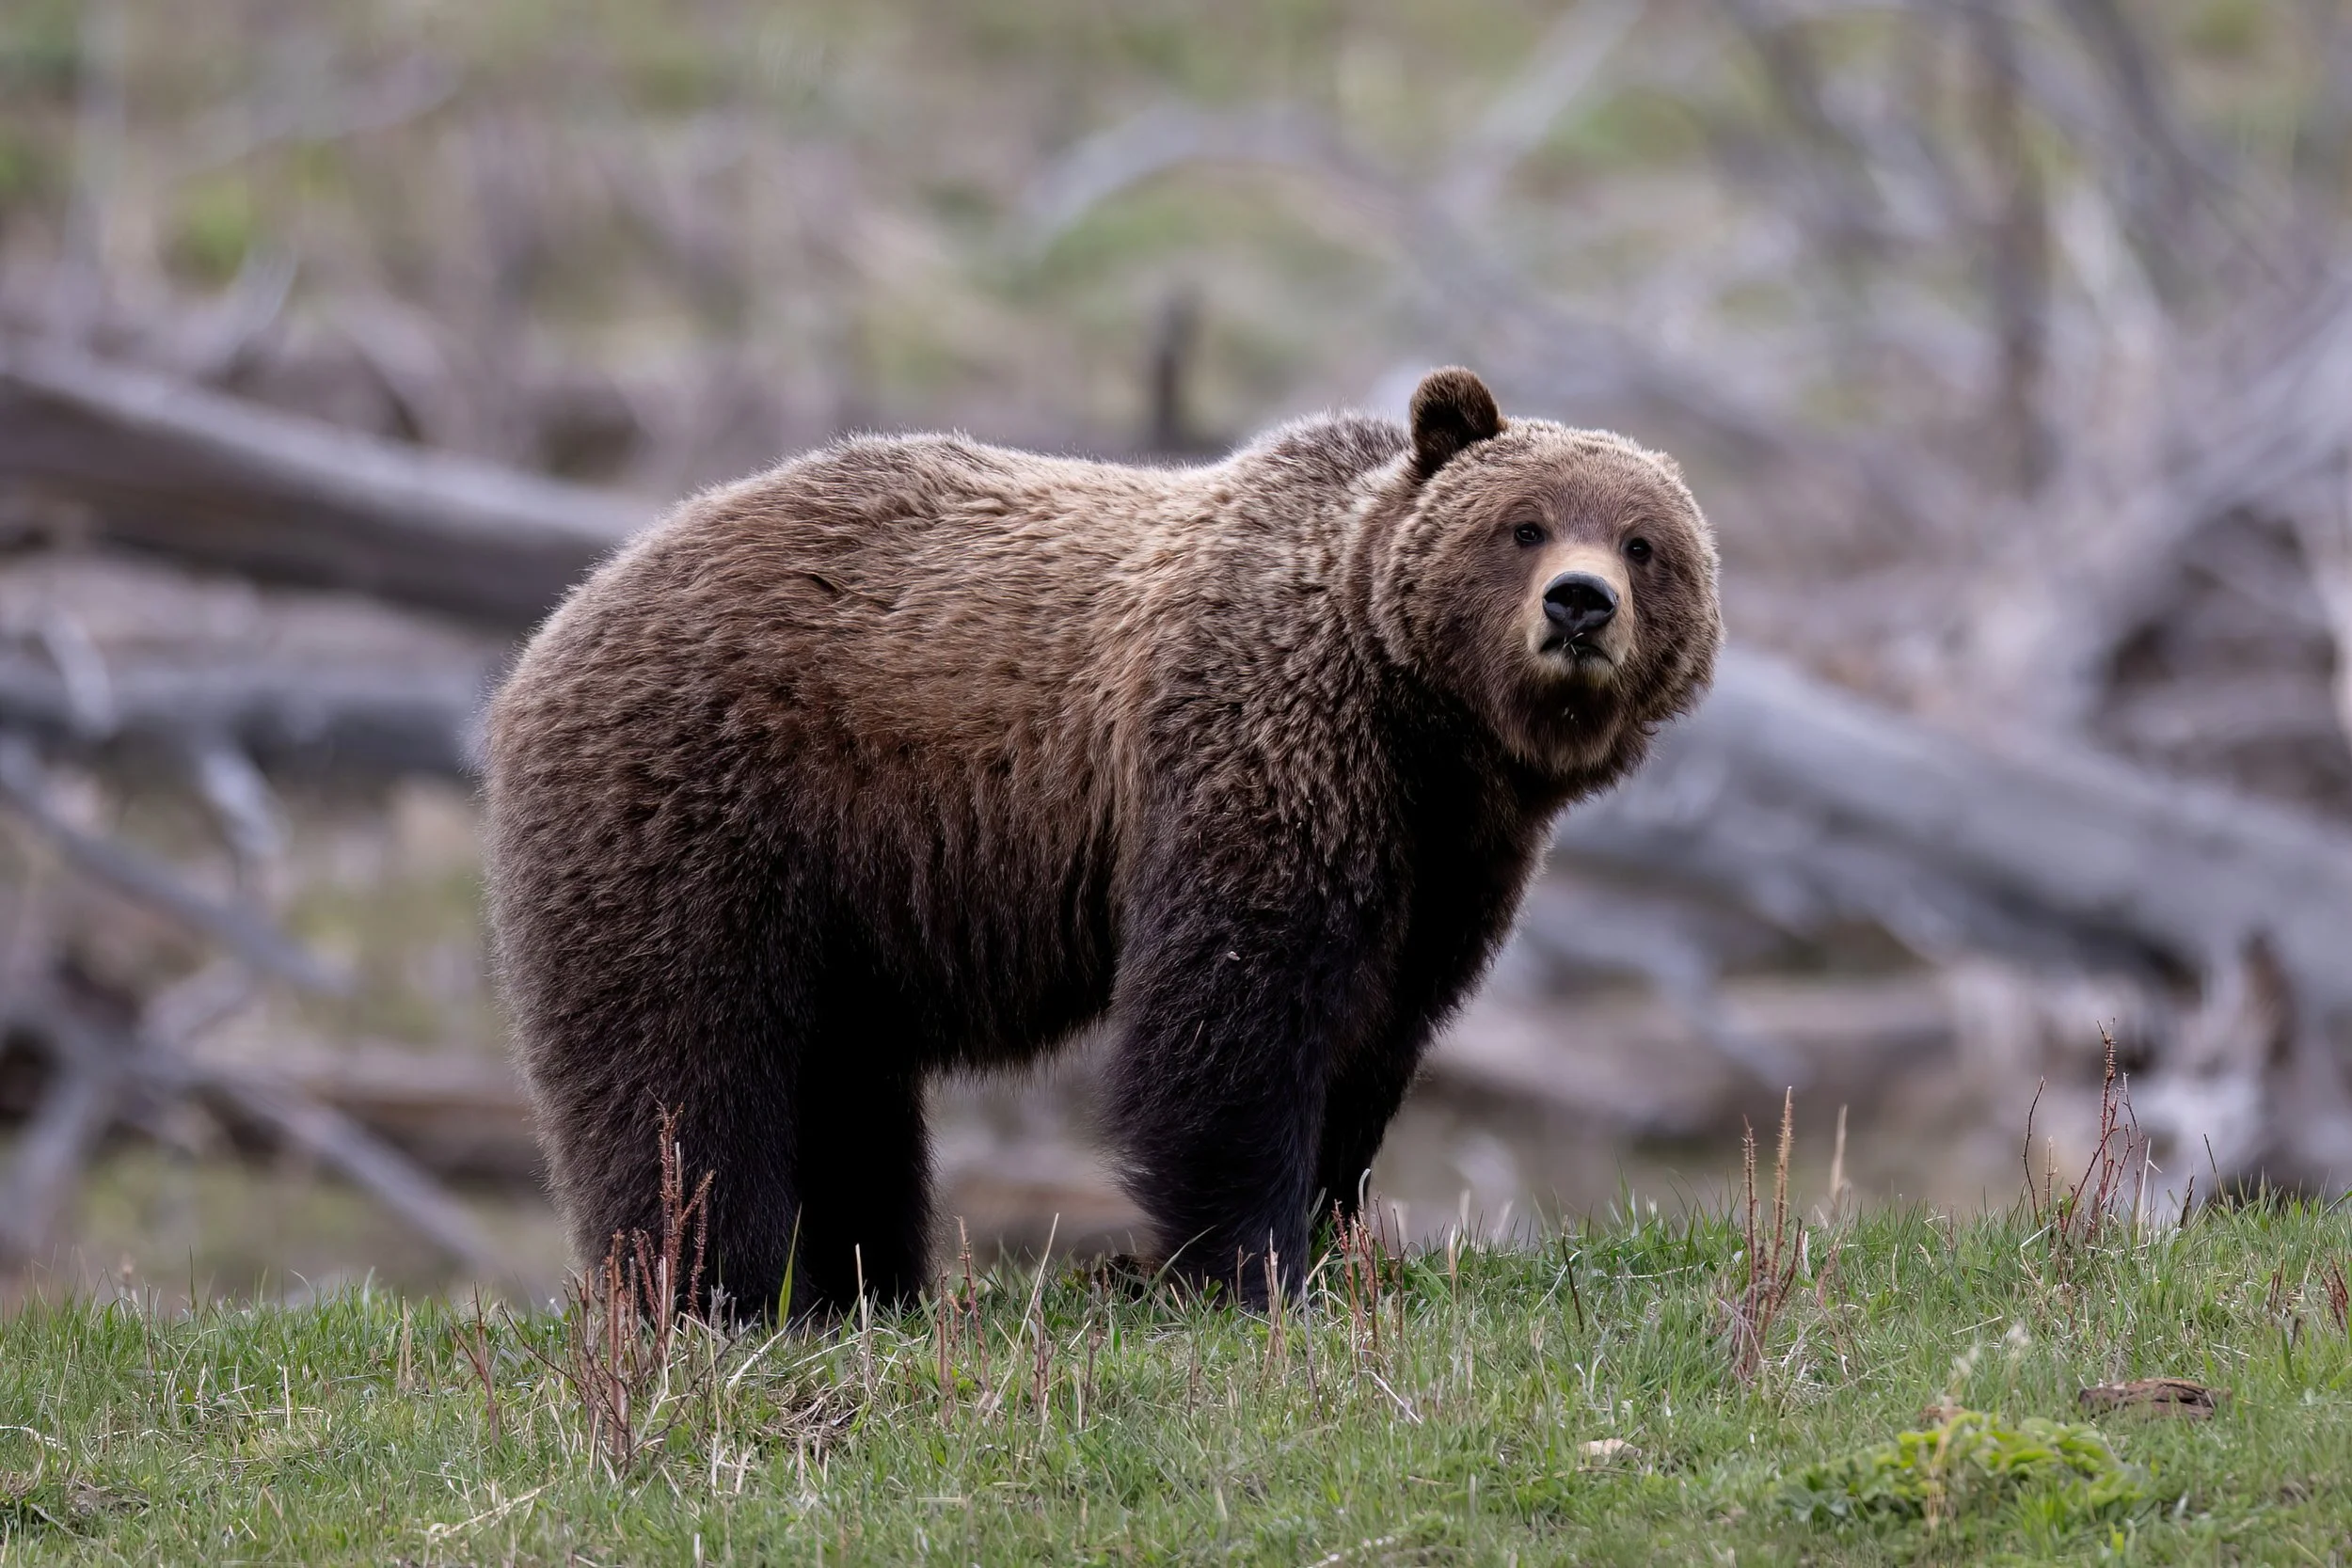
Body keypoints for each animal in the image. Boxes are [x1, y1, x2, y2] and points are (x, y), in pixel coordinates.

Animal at [483, 367, 1720, 1318]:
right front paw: (1251, 1261)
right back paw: (712, 1287)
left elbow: (1377, 1033)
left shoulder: (1449, 859)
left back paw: (862, 1284)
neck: (1422, 724)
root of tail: (557, 622)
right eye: (1524, 524)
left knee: (843, 1087)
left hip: (838, 899)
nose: (1577, 602)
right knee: (681, 1062)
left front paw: (1336, 1222)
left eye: (1642, 542)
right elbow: (1232, 1015)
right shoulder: (1261, 745)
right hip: (701, 806)